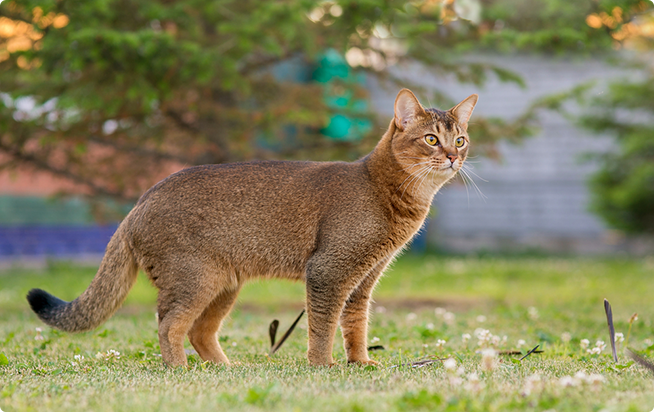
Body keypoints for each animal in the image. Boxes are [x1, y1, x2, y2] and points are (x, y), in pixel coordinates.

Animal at [26, 88, 476, 366]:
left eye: (461, 140)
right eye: (431, 139)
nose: (453, 157)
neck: (389, 192)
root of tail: (138, 203)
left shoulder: (364, 280)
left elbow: (356, 326)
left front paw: (361, 362)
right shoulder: (329, 271)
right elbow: (322, 326)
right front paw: (324, 365)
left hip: (224, 284)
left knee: (199, 331)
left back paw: (226, 368)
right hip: (194, 278)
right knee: (169, 325)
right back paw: (180, 370)